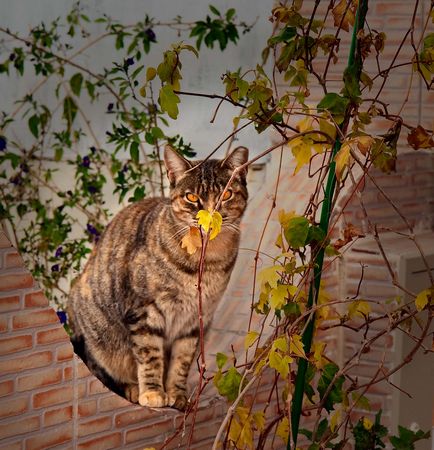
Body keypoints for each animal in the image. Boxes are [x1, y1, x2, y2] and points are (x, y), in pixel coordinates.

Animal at [67, 145, 248, 410]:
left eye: (225, 195)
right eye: (191, 197)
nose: (209, 214)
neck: (205, 261)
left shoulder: (194, 321)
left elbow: (181, 362)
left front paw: (177, 394)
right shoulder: (145, 312)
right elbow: (150, 356)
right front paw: (153, 392)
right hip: (95, 333)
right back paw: (133, 389)